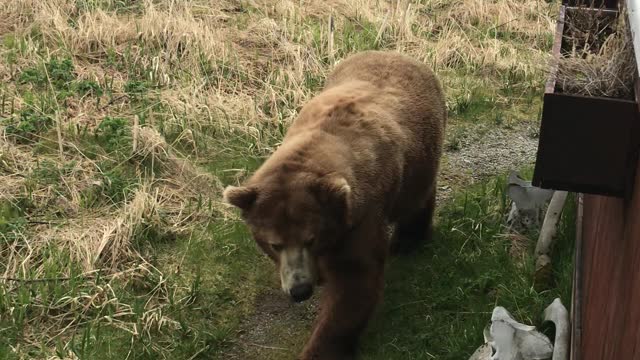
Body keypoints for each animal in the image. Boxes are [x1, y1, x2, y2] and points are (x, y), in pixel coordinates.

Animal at [222, 51, 448, 360]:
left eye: (311, 238)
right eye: (274, 244)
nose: (300, 289)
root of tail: (397, 54)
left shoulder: (360, 215)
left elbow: (354, 281)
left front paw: (320, 347)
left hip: (420, 153)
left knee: (415, 198)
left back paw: (407, 239)